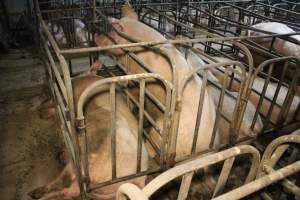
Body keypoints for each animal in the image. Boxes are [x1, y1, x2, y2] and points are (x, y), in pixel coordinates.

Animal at [95, 3, 217, 161]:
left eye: (110, 32)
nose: (95, 37)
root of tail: (198, 150)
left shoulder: (137, 73)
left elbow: (133, 89)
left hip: (160, 129)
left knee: (154, 149)